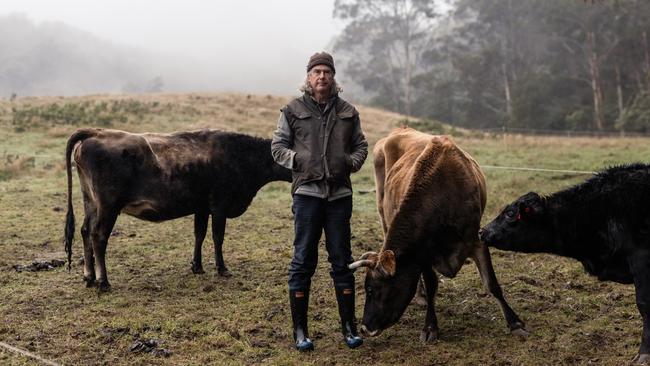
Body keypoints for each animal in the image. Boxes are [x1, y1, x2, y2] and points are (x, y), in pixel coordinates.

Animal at [64, 127, 292, 290]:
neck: (240, 156)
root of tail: (98, 132)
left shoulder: (202, 207)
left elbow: (199, 234)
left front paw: (197, 266)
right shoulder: (219, 205)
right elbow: (218, 237)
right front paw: (222, 268)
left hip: (90, 201)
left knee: (85, 231)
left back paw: (89, 277)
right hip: (108, 206)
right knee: (98, 236)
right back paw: (103, 282)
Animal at [346, 127, 524, 342]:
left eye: (372, 289)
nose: (364, 328)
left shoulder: (476, 240)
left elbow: (492, 284)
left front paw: (515, 323)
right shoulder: (423, 252)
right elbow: (431, 286)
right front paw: (430, 327)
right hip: (383, 215)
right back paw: (420, 295)